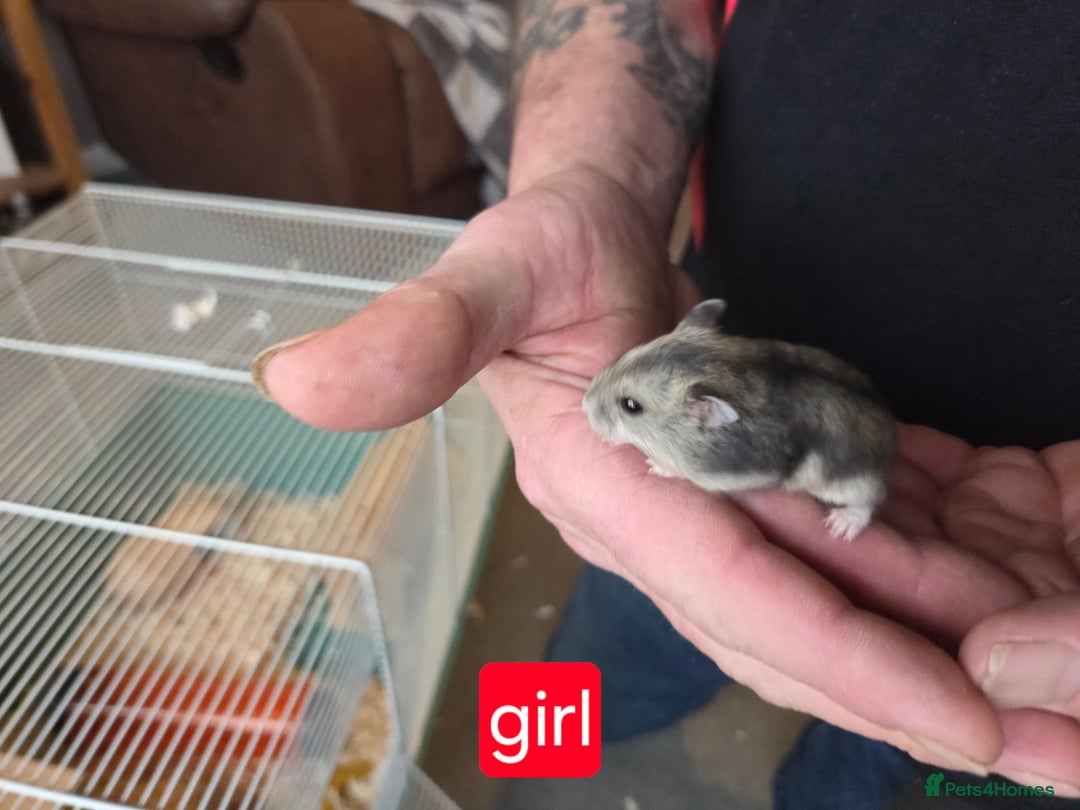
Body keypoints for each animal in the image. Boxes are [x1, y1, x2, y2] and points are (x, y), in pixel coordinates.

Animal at [582, 299, 895, 541]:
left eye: (631, 406)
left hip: (851, 482)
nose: (584, 405)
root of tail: (890, 437)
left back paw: (840, 526)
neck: (726, 369)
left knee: (870, 499)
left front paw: (654, 465)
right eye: (627, 354)